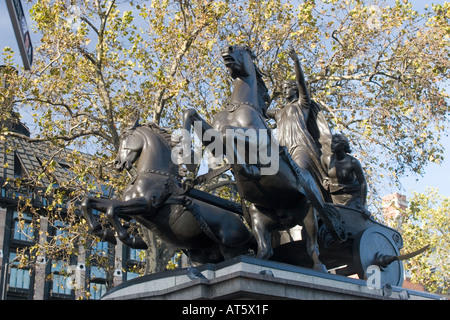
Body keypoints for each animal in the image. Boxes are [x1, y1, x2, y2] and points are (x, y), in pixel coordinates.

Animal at [181, 44, 328, 270]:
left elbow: (229, 134)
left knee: (312, 246)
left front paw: (247, 169)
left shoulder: (259, 141)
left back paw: (319, 267)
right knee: (266, 251)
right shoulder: (214, 139)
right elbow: (190, 113)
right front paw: (188, 161)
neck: (238, 107)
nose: (227, 48)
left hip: (309, 212)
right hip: (259, 216)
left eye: (245, 48)